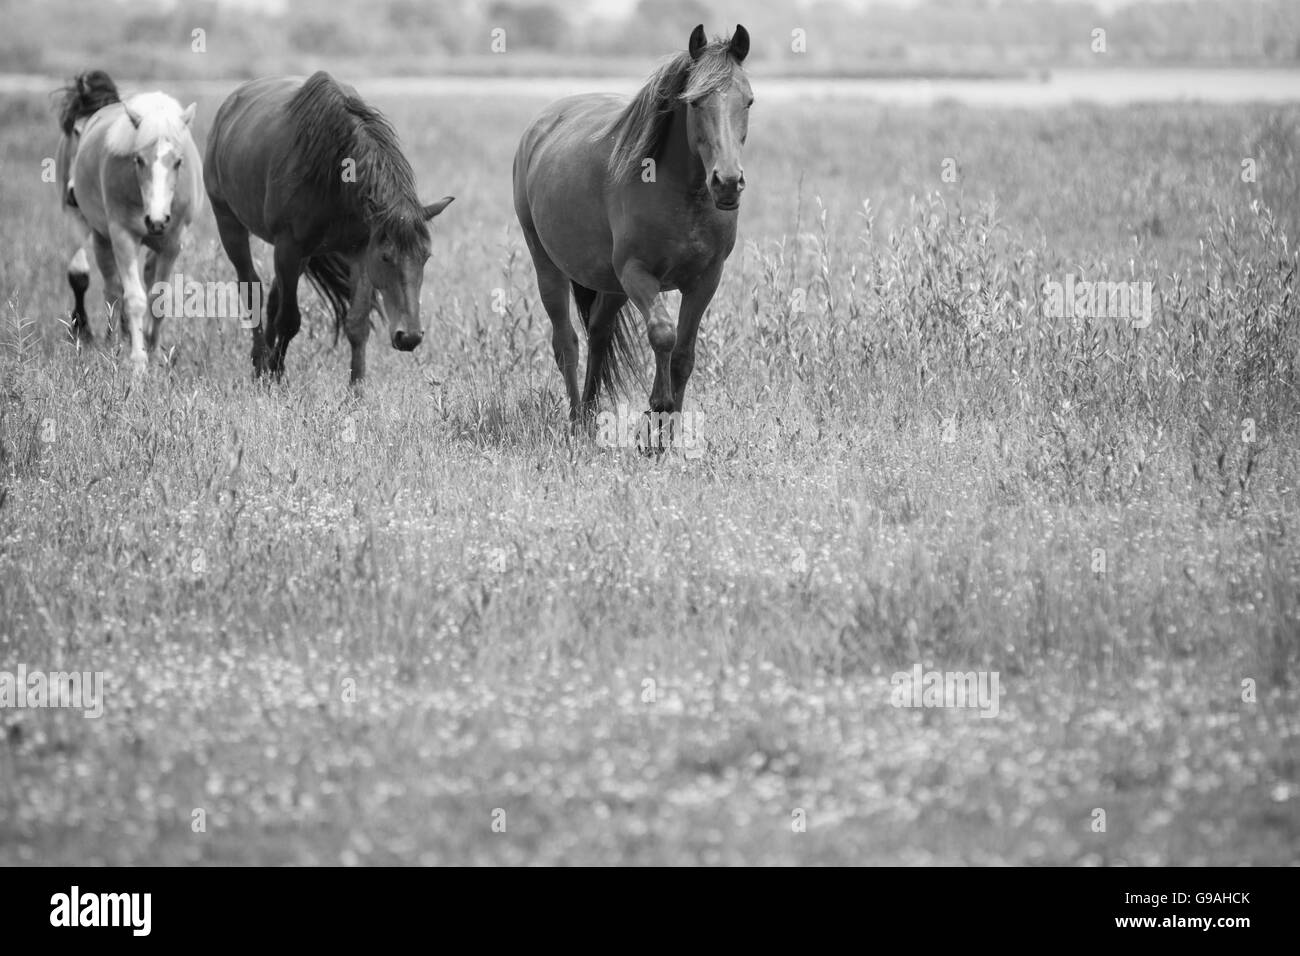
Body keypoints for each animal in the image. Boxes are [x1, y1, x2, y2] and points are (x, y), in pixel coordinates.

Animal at [58, 83, 203, 371]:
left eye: (178, 162)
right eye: (138, 160)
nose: (156, 221)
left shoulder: (172, 243)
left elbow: (159, 298)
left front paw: (156, 354)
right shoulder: (123, 235)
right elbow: (134, 298)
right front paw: (138, 362)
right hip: (100, 235)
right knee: (113, 289)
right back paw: (112, 342)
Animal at [203, 71, 454, 384]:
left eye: (426, 257)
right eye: (387, 257)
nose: (409, 337)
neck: (335, 173)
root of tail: (227, 109)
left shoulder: (361, 251)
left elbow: (357, 324)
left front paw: (356, 389)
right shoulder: (289, 247)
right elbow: (289, 320)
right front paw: (276, 376)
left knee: (273, 299)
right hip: (229, 222)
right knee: (251, 288)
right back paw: (260, 364)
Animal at [513, 24, 752, 439]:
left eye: (748, 101)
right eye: (695, 103)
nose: (726, 183)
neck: (683, 193)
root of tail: (539, 127)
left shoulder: (706, 279)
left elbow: (684, 354)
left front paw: (667, 436)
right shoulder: (638, 273)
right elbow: (663, 334)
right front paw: (657, 411)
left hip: (610, 286)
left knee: (598, 335)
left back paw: (590, 415)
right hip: (549, 266)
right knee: (567, 343)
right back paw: (576, 423)